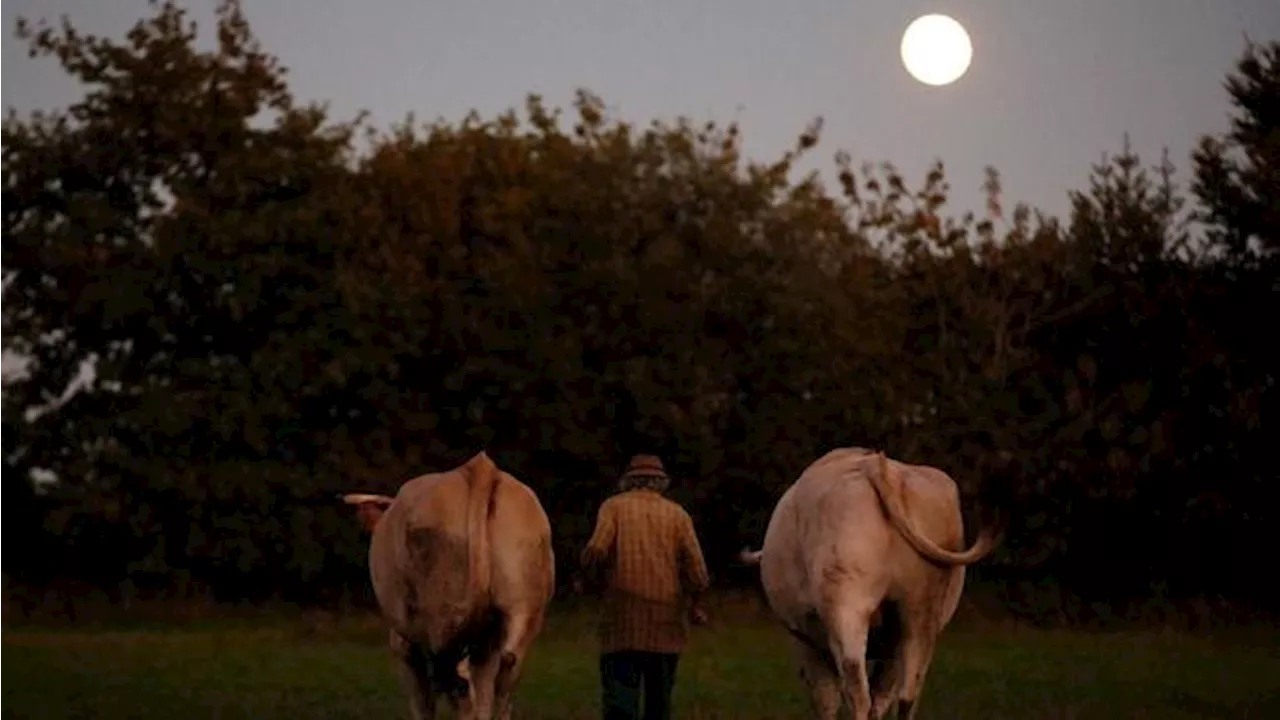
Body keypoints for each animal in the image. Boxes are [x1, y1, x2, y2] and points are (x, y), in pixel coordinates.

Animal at [345, 450, 555, 717]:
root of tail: (479, 467)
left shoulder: (405, 648)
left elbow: (422, 704)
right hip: (519, 615)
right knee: (497, 686)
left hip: (443, 620)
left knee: (462, 690)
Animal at [742, 445, 998, 712]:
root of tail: (874, 466)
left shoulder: (805, 641)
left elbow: (827, 700)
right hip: (920, 613)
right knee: (906, 695)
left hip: (846, 606)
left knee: (857, 690)